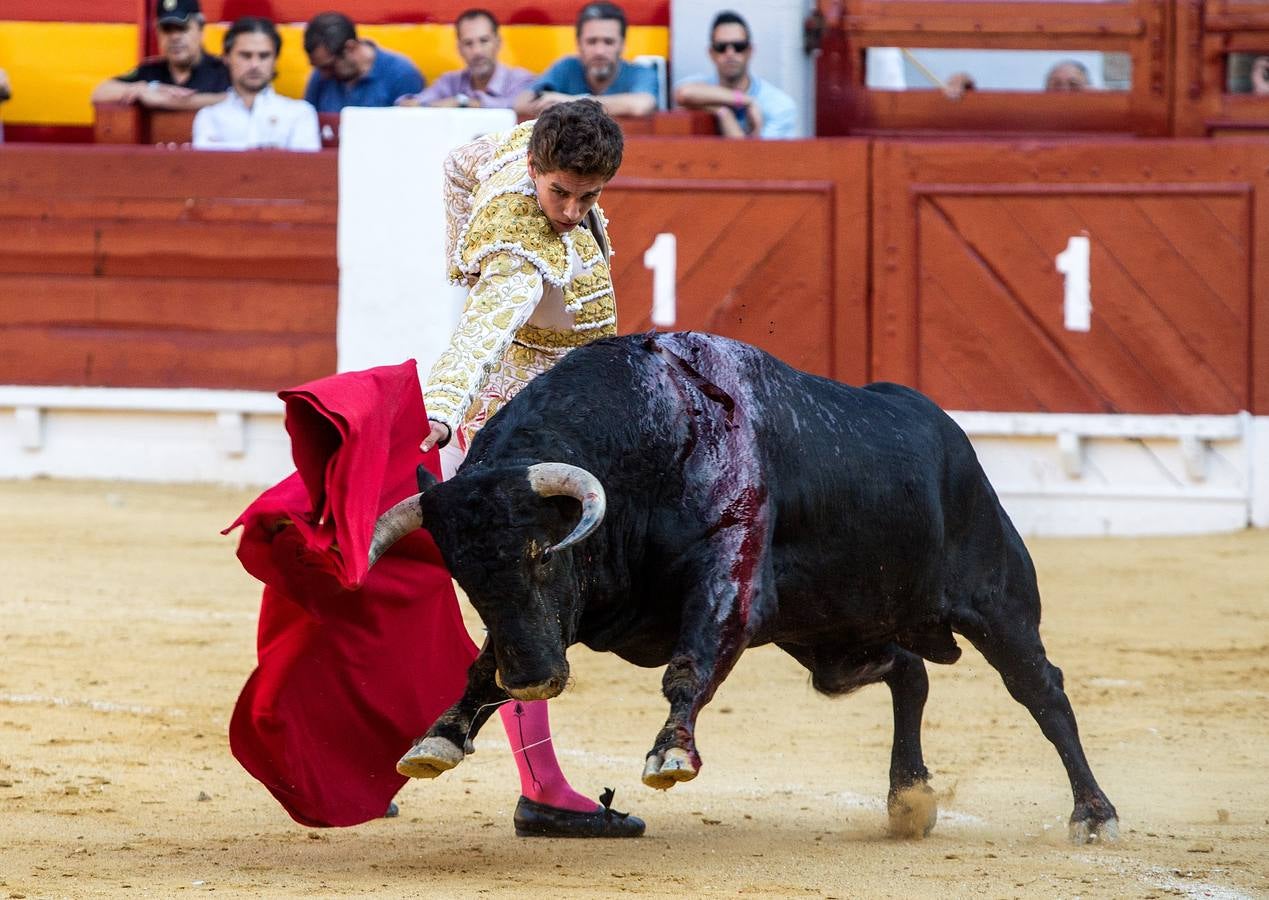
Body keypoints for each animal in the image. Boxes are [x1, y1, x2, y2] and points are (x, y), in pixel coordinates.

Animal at [370, 332, 1121, 842]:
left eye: (542, 557)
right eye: (465, 579)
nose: (532, 680)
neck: (649, 439)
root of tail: (951, 436)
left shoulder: (727, 577)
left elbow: (690, 663)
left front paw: (671, 751)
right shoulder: (572, 615)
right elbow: (480, 667)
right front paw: (438, 738)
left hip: (998, 603)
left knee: (1041, 690)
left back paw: (1093, 813)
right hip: (832, 640)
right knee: (908, 673)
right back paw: (908, 798)